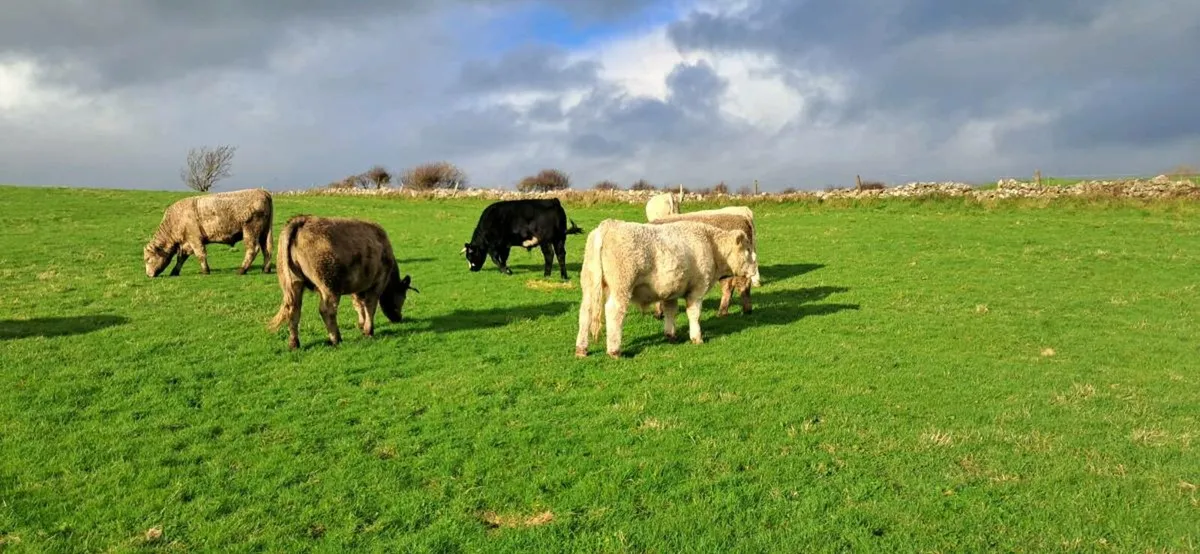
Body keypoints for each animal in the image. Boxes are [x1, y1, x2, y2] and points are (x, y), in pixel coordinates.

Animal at [143, 188, 273, 277]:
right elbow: (181, 258)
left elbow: (200, 254)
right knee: (267, 250)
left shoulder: (194, 239)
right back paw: (265, 269)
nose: (148, 275)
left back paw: (242, 270)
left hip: (250, 231)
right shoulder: (186, 243)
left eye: (148, 259)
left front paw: (205, 271)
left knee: (253, 249)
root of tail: (263, 192)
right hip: (264, 233)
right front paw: (174, 272)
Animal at [268, 215, 418, 350]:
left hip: (293, 283)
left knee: (293, 310)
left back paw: (294, 344)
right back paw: (336, 339)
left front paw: (361, 324)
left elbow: (358, 305)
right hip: (329, 286)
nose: (398, 318)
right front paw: (368, 330)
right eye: (403, 297)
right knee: (327, 310)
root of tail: (303, 220)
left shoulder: (358, 285)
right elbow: (370, 305)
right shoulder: (377, 283)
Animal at [574, 219, 755, 359]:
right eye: (748, 250)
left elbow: (670, 311)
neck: (710, 244)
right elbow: (694, 314)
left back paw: (581, 349)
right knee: (613, 312)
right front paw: (697, 337)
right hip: (621, 287)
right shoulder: (697, 289)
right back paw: (614, 351)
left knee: (585, 313)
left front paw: (671, 335)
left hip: (589, 286)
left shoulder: (671, 291)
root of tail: (609, 224)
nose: (754, 271)